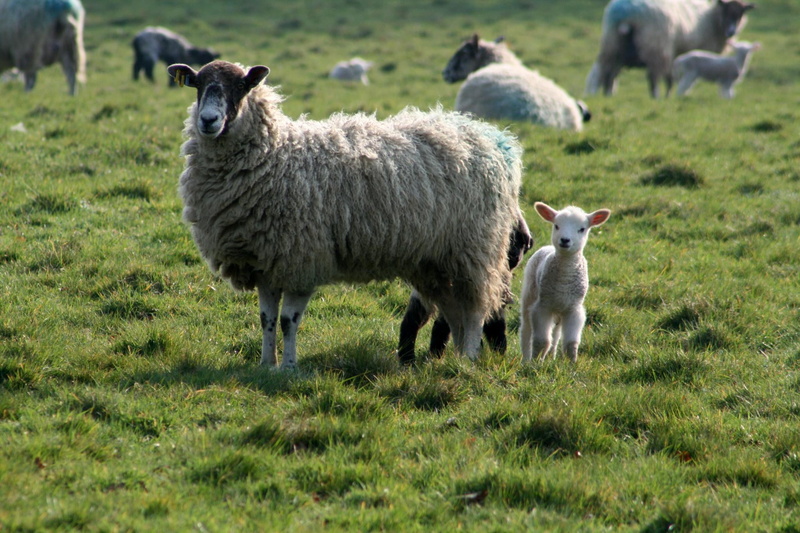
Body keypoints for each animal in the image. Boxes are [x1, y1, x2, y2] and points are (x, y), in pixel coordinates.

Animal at [397, 210, 533, 365]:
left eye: (522, 242)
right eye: (510, 239)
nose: (515, 255)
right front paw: (497, 354)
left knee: (415, 319)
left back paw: (412, 356)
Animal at [519, 202, 611, 364]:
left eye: (582, 229)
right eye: (556, 226)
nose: (565, 240)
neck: (564, 279)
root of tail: (547, 247)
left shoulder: (573, 309)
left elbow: (570, 343)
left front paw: (572, 364)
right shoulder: (543, 307)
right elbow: (541, 340)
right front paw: (535, 363)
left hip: (559, 311)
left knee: (555, 335)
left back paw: (551, 356)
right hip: (530, 294)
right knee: (526, 329)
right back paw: (526, 359)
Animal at [585, 0, 755, 98]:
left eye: (741, 13)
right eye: (727, 11)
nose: (731, 32)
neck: (711, 19)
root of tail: (626, 13)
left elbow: (671, 77)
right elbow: (673, 78)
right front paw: (672, 94)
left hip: (612, 46)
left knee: (608, 74)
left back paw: (607, 95)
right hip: (656, 47)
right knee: (652, 77)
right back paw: (656, 97)